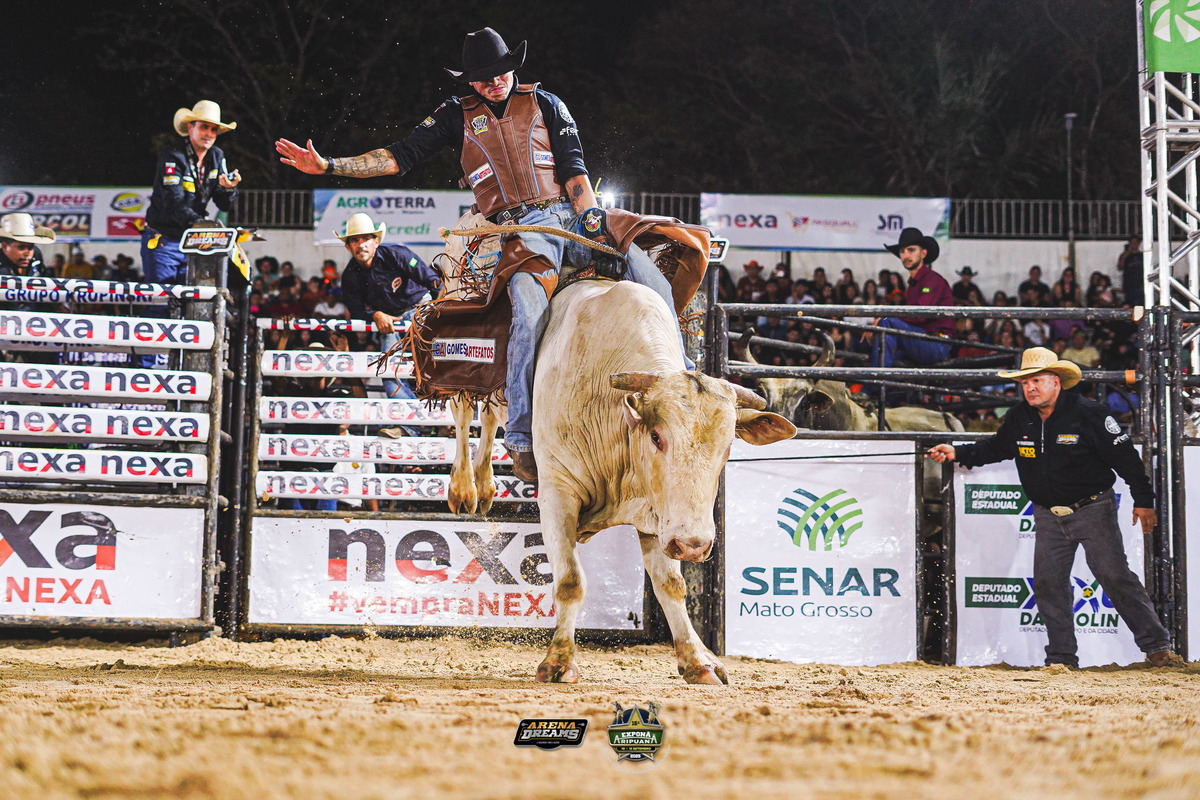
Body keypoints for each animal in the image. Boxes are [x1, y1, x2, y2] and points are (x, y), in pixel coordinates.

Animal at [531, 280, 795, 683]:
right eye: (656, 436)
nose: (693, 545)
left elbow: (672, 584)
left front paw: (698, 661)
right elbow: (570, 581)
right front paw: (559, 661)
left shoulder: (660, 515)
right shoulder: (557, 492)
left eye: (729, 445)